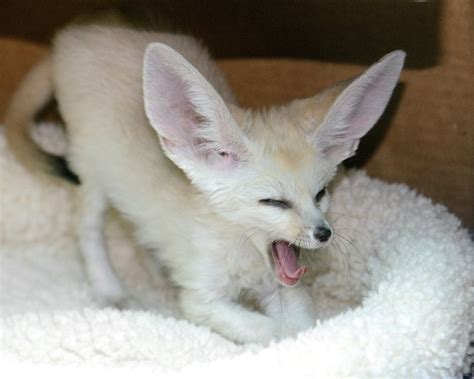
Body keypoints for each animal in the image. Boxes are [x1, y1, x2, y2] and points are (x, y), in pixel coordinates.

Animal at [3, 24, 406, 344]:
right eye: (274, 202)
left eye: (320, 195)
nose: (324, 234)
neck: (243, 253)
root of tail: (72, 36)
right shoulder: (201, 299)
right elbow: (272, 331)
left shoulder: (282, 286)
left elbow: (302, 323)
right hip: (92, 172)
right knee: (86, 228)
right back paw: (107, 287)